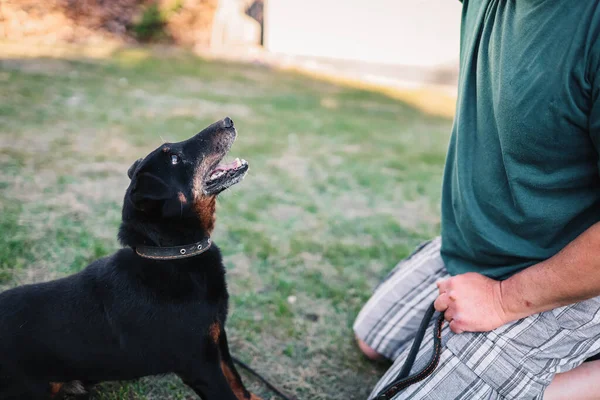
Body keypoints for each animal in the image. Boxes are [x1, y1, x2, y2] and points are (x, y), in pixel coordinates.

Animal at [0, 117, 262, 398]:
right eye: (174, 160)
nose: (228, 120)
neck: (171, 254)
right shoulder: (200, 365)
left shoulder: (217, 339)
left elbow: (237, 381)